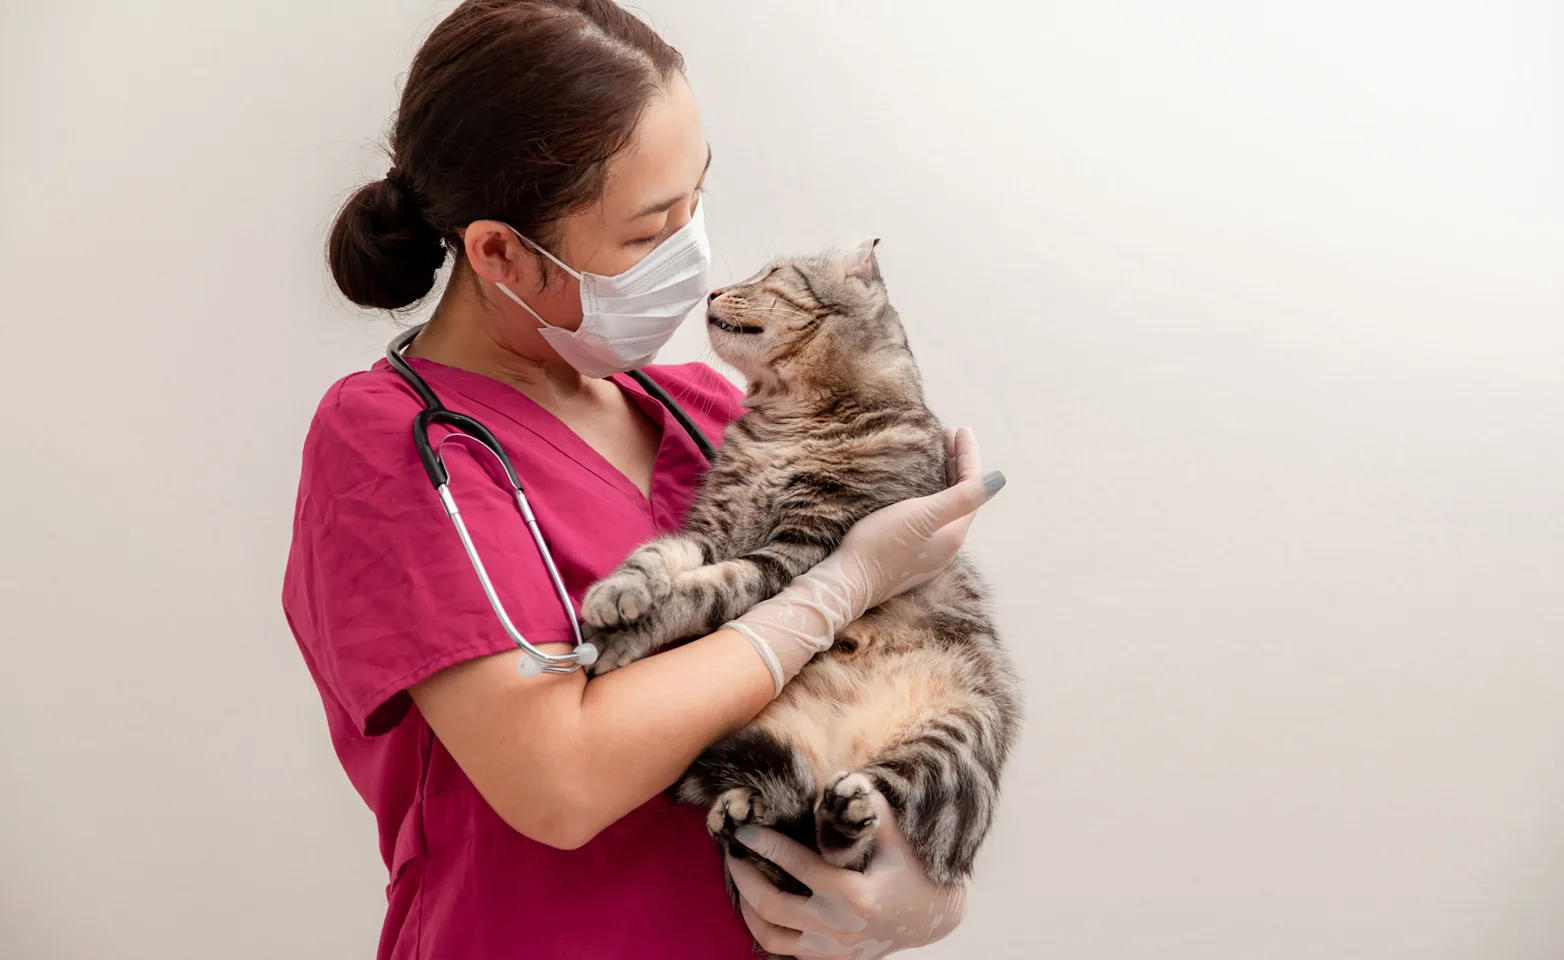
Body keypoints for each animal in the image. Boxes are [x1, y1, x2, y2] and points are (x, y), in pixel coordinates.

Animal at [581, 240, 1019, 900]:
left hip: (955, 741)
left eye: (770, 274)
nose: (713, 291)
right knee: (794, 826)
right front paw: (619, 592)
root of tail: (835, 757)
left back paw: (842, 816)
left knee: (855, 845)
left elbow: (709, 589)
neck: (786, 419)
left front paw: (630, 630)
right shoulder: (713, 528)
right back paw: (744, 812)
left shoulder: (801, 549)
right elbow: (660, 556)